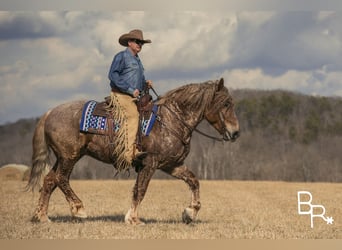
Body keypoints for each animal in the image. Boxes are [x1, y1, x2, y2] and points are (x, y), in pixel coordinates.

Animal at [26, 78, 239, 225]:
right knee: (61, 178)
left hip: (63, 157)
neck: (171, 120)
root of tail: (49, 113)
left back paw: (42, 216)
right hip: (70, 156)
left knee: (49, 180)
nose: (235, 132)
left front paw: (190, 212)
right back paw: (78, 209)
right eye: (226, 103)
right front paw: (133, 218)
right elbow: (140, 190)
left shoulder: (172, 165)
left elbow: (194, 181)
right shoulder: (150, 163)